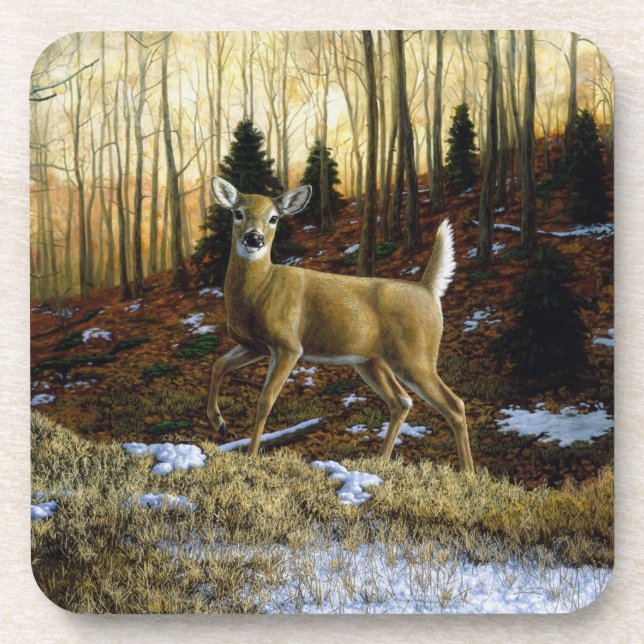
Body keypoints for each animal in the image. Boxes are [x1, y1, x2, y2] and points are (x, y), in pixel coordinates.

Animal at [206, 176, 474, 472]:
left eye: (274, 218)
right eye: (238, 213)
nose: (254, 238)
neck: (261, 288)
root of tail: (429, 290)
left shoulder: (288, 345)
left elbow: (265, 400)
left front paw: (251, 455)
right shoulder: (255, 345)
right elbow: (218, 365)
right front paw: (219, 423)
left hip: (415, 356)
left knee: (455, 404)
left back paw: (468, 474)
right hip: (370, 361)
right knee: (401, 401)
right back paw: (379, 463)